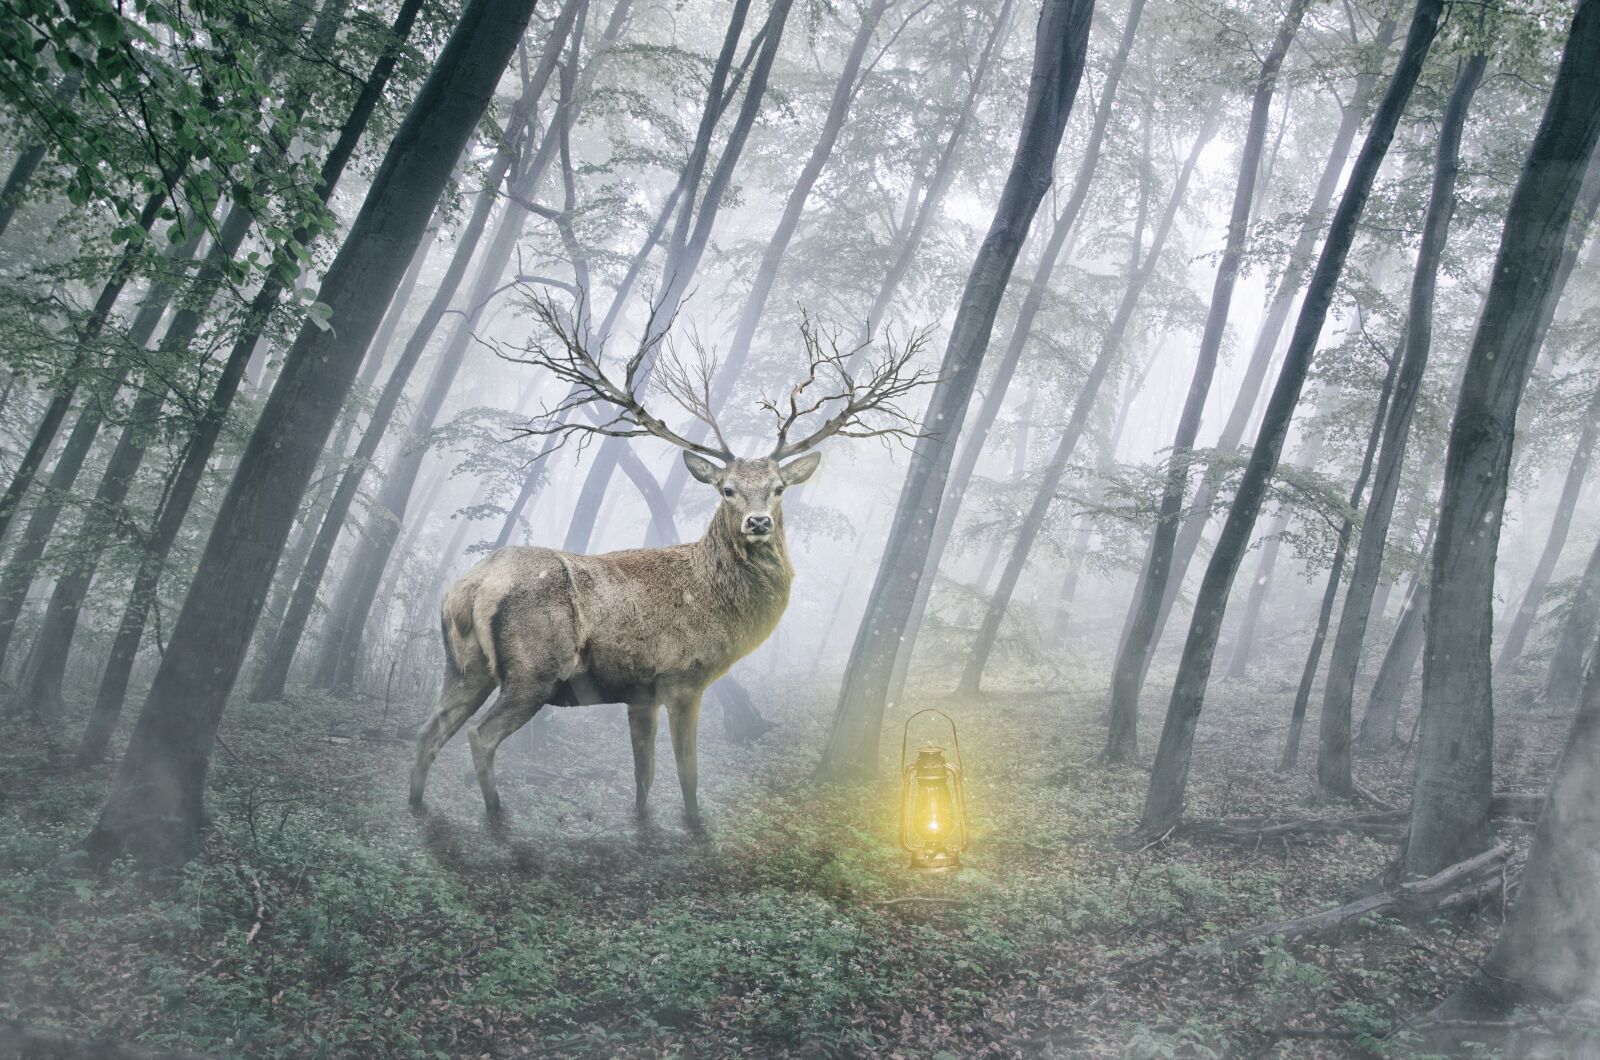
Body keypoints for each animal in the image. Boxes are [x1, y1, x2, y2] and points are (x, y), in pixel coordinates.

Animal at [408, 297, 930, 826]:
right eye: (727, 489)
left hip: (463, 667)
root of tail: (470, 586)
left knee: (429, 729)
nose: (759, 522)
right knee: (479, 735)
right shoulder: (683, 675)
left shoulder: (642, 693)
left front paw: (643, 822)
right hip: (534, 669)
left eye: (779, 488)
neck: (718, 606)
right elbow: (686, 770)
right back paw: (497, 817)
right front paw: (695, 825)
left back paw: (417, 804)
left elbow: (645, 771)